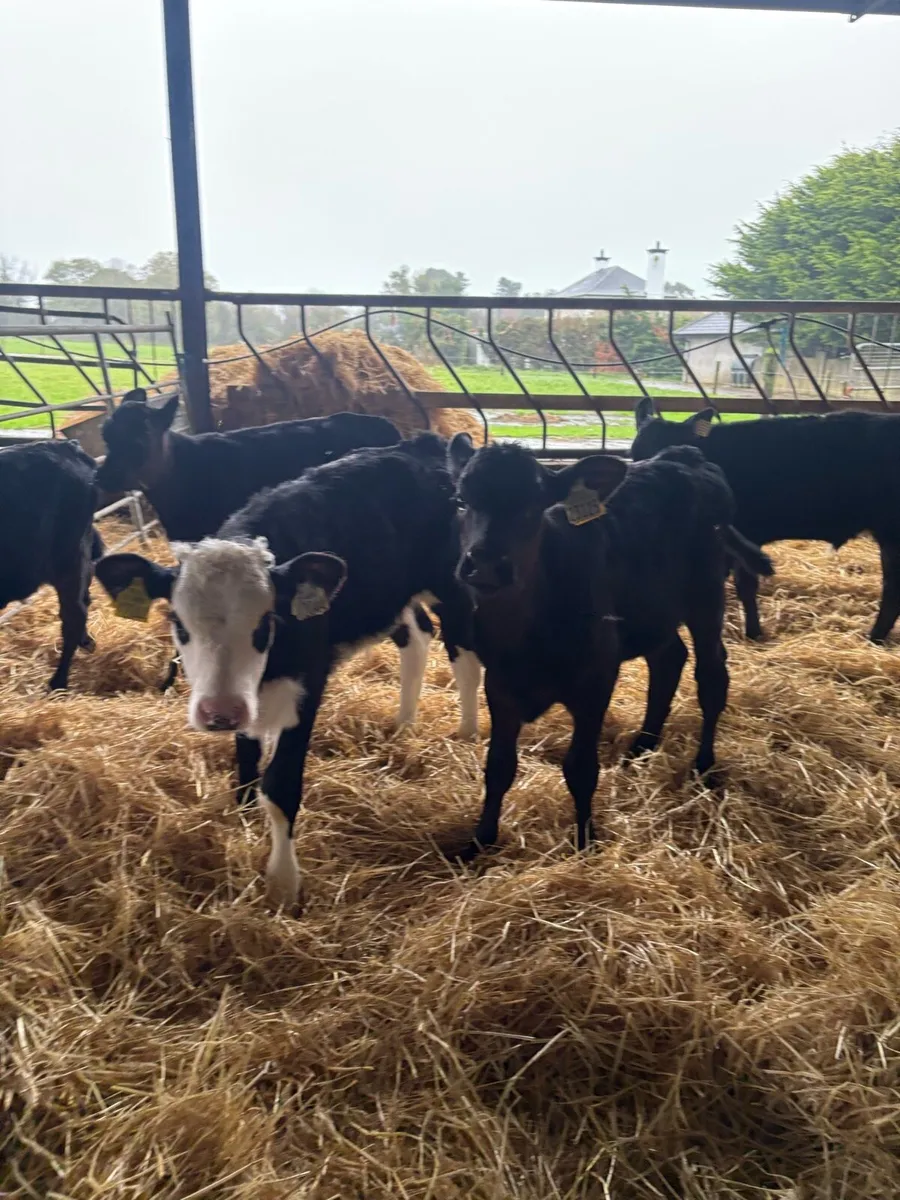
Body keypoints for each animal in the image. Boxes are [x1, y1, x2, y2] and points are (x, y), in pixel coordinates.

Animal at [94, 436, 479, 909]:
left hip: (455, 586)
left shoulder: (307, 685)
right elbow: (246, 758)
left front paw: (282, 884)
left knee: (465, 656)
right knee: (418, 636)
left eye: (266, 622)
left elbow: (280, 785)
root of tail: (426, 444)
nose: (218, 712)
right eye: (178, 623)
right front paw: (242, 815)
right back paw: (404, 725)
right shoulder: (244, 698)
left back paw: (466, 732)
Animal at [446, 434, 772, 862]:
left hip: (706, 595)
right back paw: (642, 746)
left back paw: (703, 764)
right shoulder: (500, 684)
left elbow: (580, 768)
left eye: (534, 506)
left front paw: (585, 843)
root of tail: (686, 456)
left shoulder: (596, 679)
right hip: (654, 611)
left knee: (711, 676)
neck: (525, 636)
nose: (484, 563)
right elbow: (498, 766)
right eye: (460, 501)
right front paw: (479, 842)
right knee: (669, 659)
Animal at [631, 401, 900, 644]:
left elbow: (744, 585)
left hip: (891, 534)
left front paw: (753, 632)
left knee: (892, 587)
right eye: (635, 454)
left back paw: (874, 637)